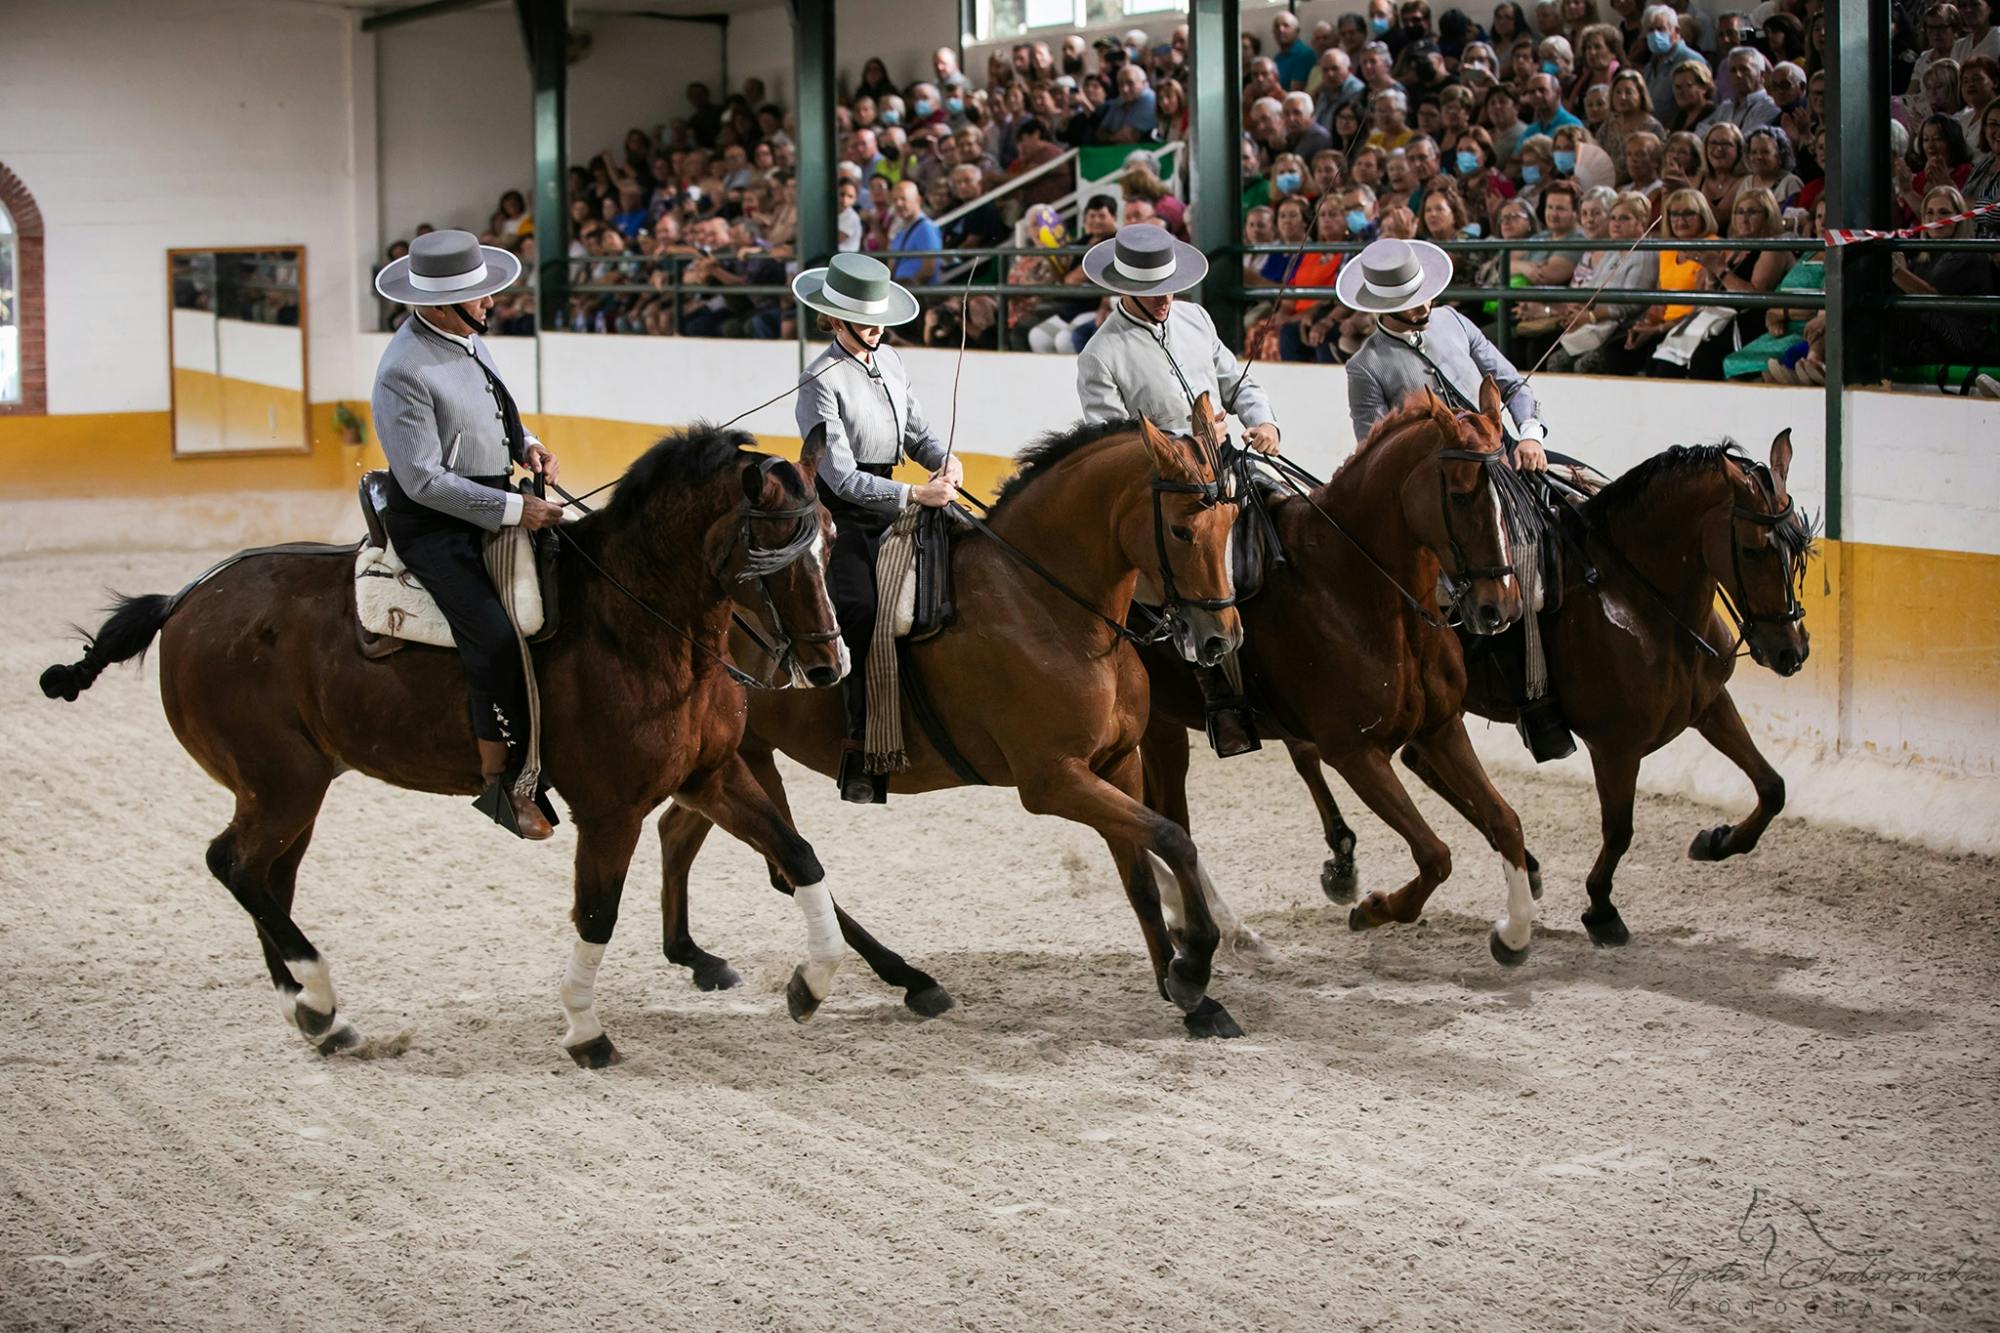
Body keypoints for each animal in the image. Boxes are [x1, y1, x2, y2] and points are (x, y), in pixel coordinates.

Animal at [39, 430, 848, 1064]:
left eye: (831, 539)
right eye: (770, 550)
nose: (826, 664)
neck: (637, 622)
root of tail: (185, 600)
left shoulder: (711, 774)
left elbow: (800, 854)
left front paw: (810, 983)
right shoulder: (610, 810)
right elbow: (597, 914)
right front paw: (585, 1031)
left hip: (294, 788)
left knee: (267, 878)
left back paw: (316, 1014)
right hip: (280, 782)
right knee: (235, 865)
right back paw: (319, 992)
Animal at [656, 416, 1256, 1040]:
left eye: (1231, 522)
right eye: (1182, 530)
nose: (1220, 638)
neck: (1044, 603)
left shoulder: (1118, 763)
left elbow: (1140, 873)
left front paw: (1190, 997)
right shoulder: (1054, 782)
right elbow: (1173, 839)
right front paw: (1193, 968)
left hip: (731, 759)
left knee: (684, 833)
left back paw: (699, 959)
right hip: (747, 757)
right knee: (783, 865)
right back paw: (904, 980)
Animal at [1144, 378, 1544, 960]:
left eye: (1510, 491)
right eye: (1461, 494)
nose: (1502, 608)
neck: (1355, 588)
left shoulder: (1441, 728)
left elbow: (1505, 822)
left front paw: (1513, 933)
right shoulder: (1356, 753)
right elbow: (1435, 854)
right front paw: (1374, 909)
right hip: (1156, 725)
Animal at [1280, 426, 1816, 944]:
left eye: (1798, 549)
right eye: (1752, 549)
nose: (1791, 651)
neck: (1642, 601)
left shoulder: (1709, 705)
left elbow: (1773, 787)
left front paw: (1718, 841)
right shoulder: (1615, 745)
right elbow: (1619, 830)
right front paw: (1601, 909)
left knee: (1417, 763)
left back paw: (1523, 863)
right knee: (1313, 755)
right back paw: (1344, 861)